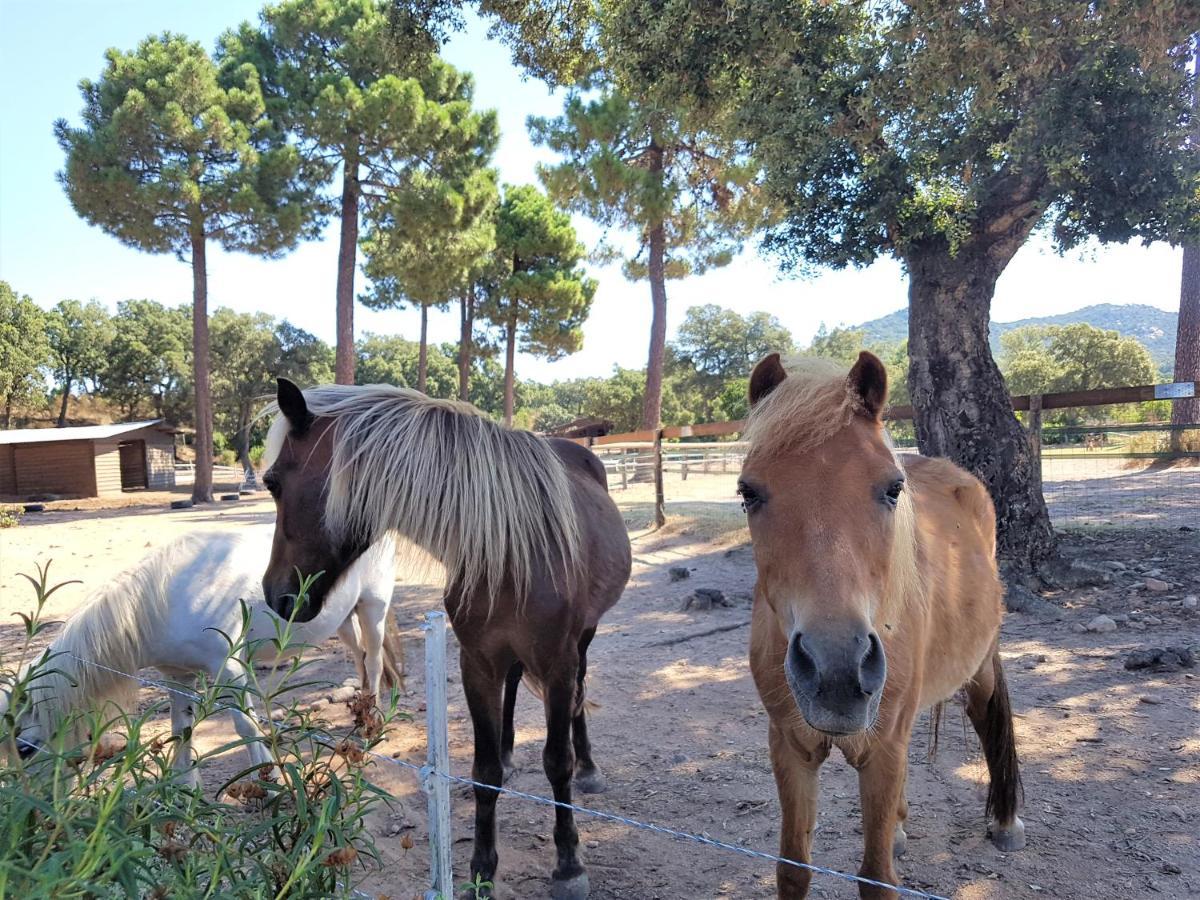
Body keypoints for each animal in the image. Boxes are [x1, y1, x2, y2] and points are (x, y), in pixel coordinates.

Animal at [0, 528, 405, 787]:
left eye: (24, 749)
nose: (33, 816)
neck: (164, 597)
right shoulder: (177, 675)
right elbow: (182, 728)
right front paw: (185, 786)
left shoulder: (229, 667)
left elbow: (245, 725)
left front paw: (269, 777)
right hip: (344, 618)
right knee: (359, 657)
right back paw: (359, 713)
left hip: (372, 607)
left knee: (373, 660)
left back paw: (372, 724)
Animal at [261, 379, 633, 900]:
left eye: (273, 482)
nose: (275, 594)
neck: (510, 546)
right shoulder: (476, 663)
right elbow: (484, 773)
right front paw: (480, 869)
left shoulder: (557, 663)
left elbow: (557, 760)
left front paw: (568, 864)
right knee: (514, 686)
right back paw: (510, 749)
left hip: (584, 638)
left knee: (579, 694)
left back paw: (589, 767)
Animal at [734, 355, 1027, 897]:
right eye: (748, 492)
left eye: (892, 489)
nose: (836, 672)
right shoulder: (791, 748)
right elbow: (792, 868)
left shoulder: (883, 750)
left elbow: (876, 879)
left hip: (978, 670)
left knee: (986, 716)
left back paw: (1005, 822)